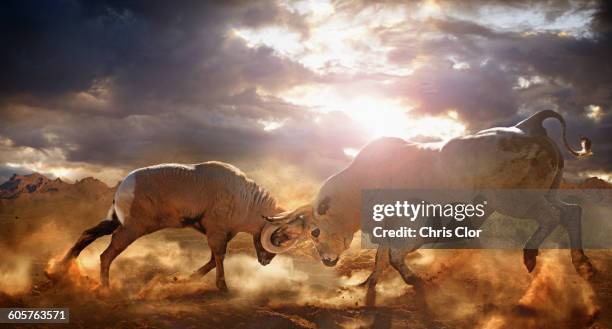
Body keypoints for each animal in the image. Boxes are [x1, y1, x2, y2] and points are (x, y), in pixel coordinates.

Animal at [56, 161, 290, 290]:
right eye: (278, 237)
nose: (266, 262)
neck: (245, 199)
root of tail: (124, 187)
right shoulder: (217, 234)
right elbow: (218, 257)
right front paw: (223, 288)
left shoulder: (222, 234)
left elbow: (212, 260)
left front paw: (185, 279)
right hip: (131, 230)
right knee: (106, 255)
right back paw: (105, 289)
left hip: (114, 223)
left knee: (88, 234)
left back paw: (59, 269)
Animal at [266, 109, 592, 304]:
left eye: (315, 232)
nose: (326, 261)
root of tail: (528, 127)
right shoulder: (388, 229)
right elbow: (381, 258)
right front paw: (367, 284)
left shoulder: (414, 225)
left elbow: (394, 256)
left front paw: (415, 280)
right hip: (546, 193)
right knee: (571, 211)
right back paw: (581, 262)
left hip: (517, 200)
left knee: (552, 217)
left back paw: (531, 255)